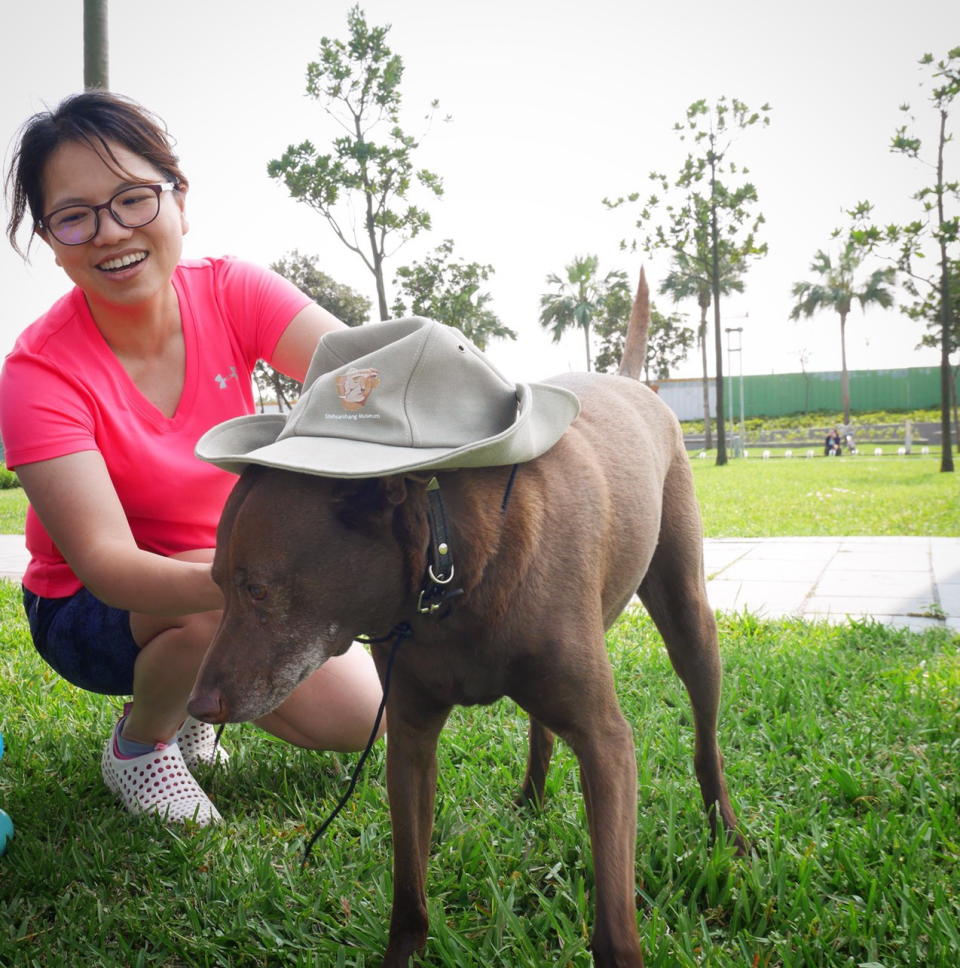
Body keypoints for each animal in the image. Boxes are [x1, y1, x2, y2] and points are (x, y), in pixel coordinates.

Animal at [186, 274, 744, 968]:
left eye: (259, 590)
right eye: (215, 586)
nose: (198, 704)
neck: (450, 570)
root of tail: (626, 382)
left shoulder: (608, 744)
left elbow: (615, 921)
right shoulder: (409, 736)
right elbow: (409, 892)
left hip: (688, 615)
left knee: (705, 740)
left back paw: (728, 833)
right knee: (541, 727)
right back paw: (531, 799)